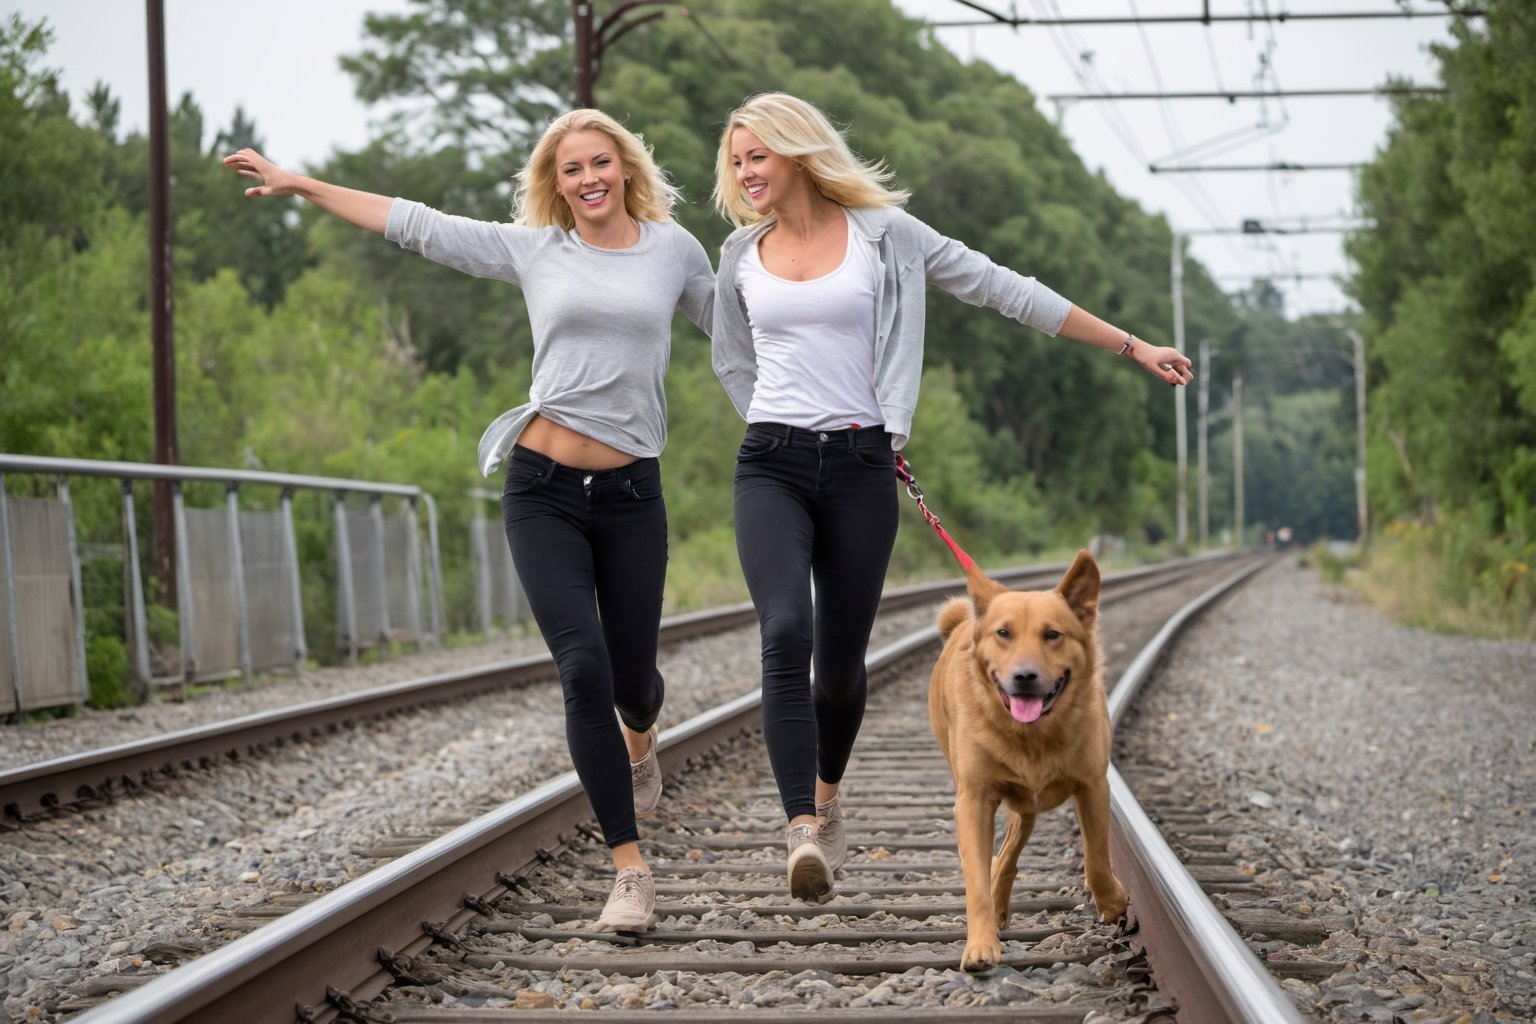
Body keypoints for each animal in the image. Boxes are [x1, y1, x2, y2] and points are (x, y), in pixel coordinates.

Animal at [921, 549, 1130, 976]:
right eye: (1004, 633)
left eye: (1053, 635)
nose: (1024, 676)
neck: (1032, 734)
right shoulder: (973, 800)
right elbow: (976, 880)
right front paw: (980, 945)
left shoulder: (1093, 785)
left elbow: (1096, 857)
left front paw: (1113, 902)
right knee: (1001, 857)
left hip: (1027, 806)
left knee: (1008, 853)